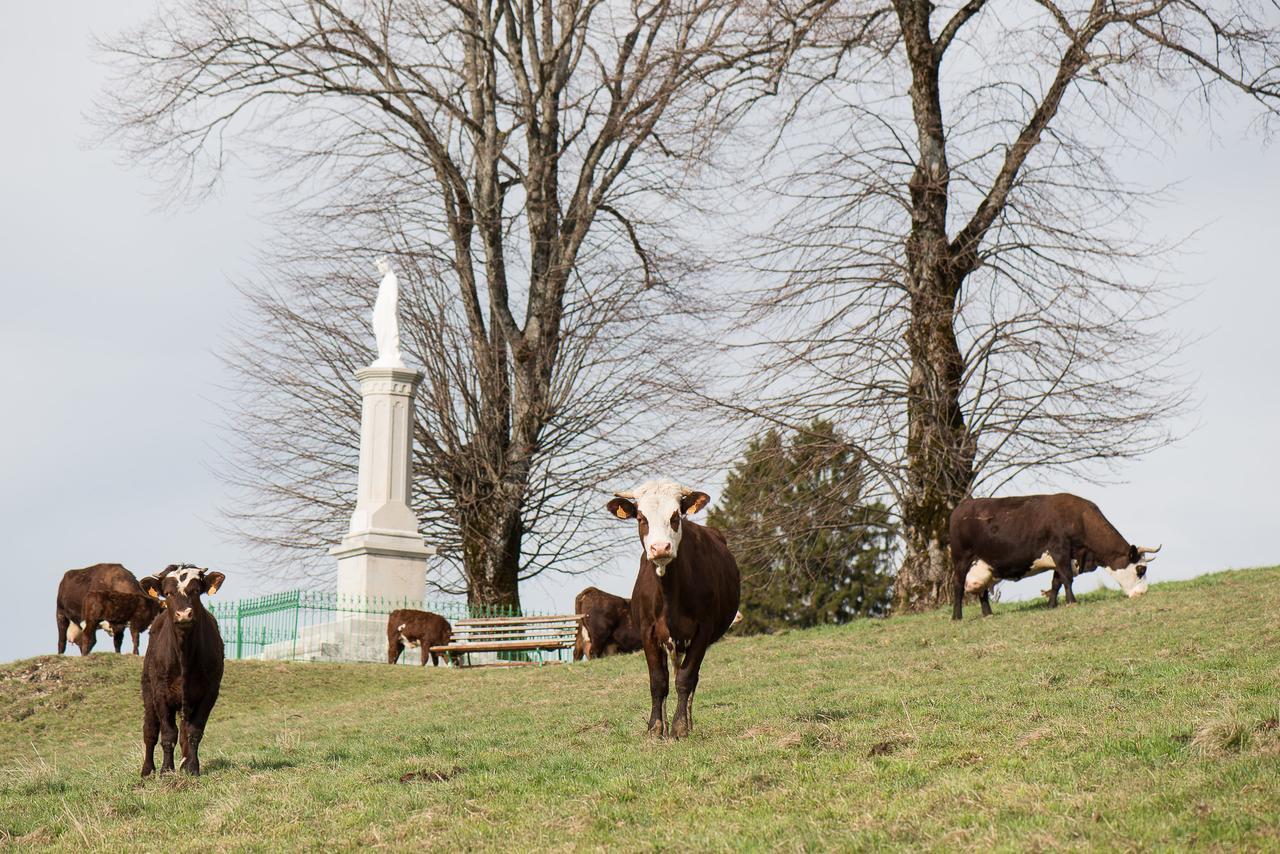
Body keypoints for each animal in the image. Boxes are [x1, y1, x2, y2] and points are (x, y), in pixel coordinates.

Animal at [138, 563, 226, 778]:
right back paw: (147, 770)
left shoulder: (209, 693)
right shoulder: (161, 694)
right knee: (150, 731)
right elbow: (168, 734)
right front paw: (166, 770)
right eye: (168, 593)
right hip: (148, 692)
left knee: (185, 730)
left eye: (195, 591)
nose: (184, 614)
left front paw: (192, 767)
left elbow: (193, 732)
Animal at [606, 481, 742, 742]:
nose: (660, 548)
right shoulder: (648, 633)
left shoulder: (702, 631)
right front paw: (656, 727)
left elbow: (685, 679)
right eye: (641, 517)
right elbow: (658, 682)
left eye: (675, 516)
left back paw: (687, 722)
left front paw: (680, 727)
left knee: (690, 678)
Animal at [952, 494, 1162, 622]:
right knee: (958, 586)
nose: (1143, 593)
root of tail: (965, 504)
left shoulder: (1065, 558)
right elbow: (1067, 578)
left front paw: (1051, 605)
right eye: (1140, 569)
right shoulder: (1059, 550)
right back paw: (957, 617)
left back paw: (988, 614)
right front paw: (1072, 602)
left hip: (983, 566)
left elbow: (1056, 582)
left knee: (982, 591)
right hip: (961, 559)